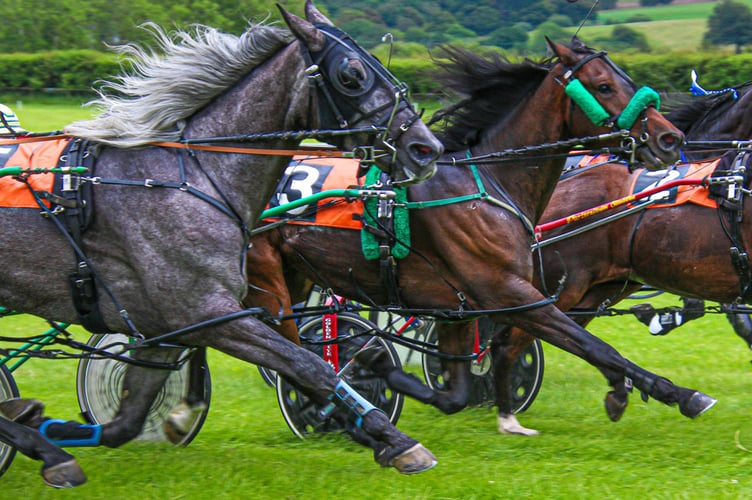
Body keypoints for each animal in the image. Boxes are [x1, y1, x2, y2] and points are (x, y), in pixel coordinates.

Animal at [0, 1, 444, 474]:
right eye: (352, 74)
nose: (426, 148)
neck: (191, 177)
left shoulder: (169, 328)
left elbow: (126, 421)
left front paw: (54, 426)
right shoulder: (211, 313)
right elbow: (310, 366)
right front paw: (397, 441)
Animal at [242, 37, 716, 436]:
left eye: (628, 80)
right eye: (603, 85)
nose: (669, 137)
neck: (488, 182)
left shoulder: (457, 308)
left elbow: (454, 395)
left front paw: (378, 366)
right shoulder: (507, 291)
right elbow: (595, 346)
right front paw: (679, 394)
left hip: (295, 275)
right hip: (267, 280)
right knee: (287, 347)